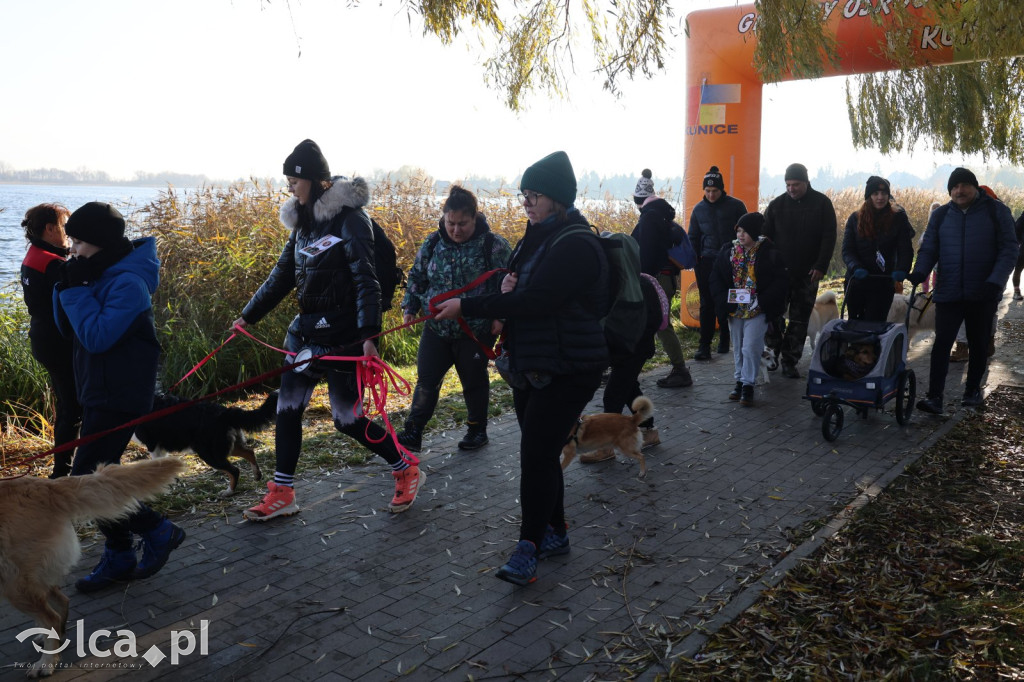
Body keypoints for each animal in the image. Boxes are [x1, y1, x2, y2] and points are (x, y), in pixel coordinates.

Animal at [132, 393, 278, 493]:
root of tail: (224, 412)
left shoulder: (153, 445)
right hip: (224, 447)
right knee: (249, 452)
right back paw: (257, 475)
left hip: (209, 454)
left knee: (234, 470)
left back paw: (228, 491)